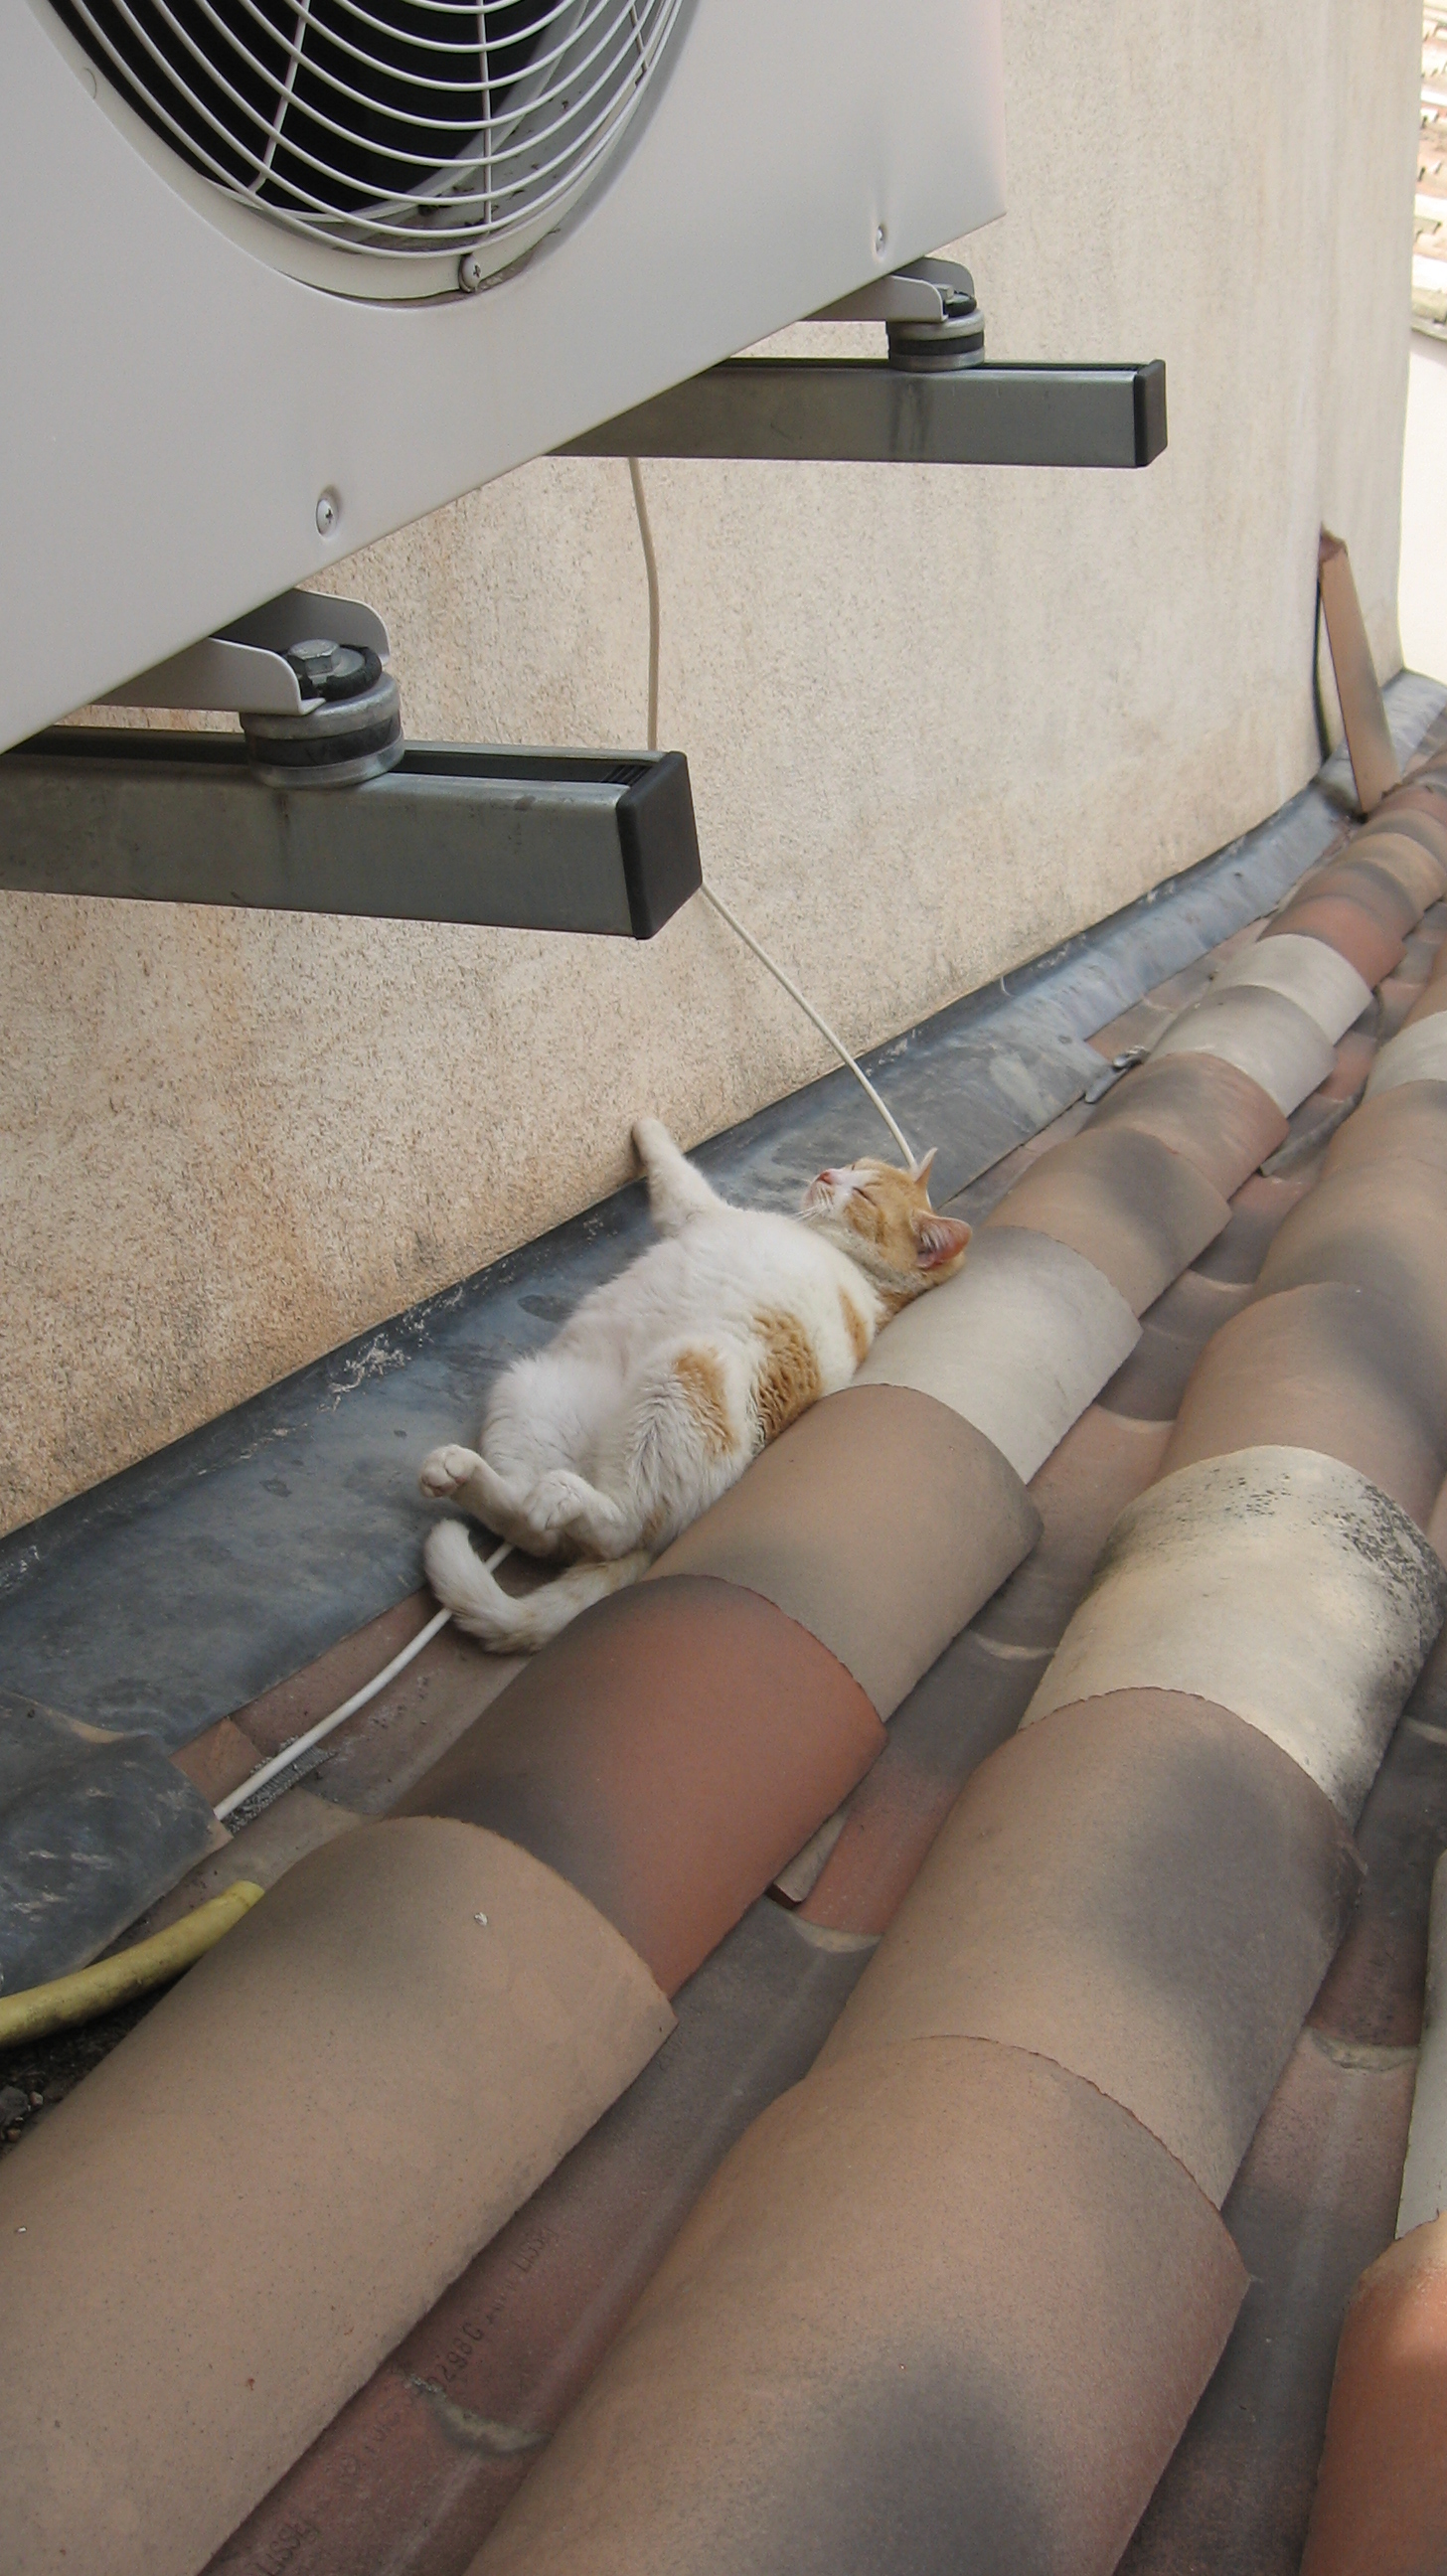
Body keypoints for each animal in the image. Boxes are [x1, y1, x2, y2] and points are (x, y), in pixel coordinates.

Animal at [420, 1115, 970, 1651]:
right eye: (853, 1165)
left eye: (865, 1195)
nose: (828, 1174)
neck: (858, 1271)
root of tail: (597, 1463)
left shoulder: (696, 1209)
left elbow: (673, 1166)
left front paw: (646, 1125)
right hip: (529, 1387)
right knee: (538, 1531)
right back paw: (463, 1475)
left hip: (683, 1372)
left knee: (615, 1529)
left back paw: (567, 1497)